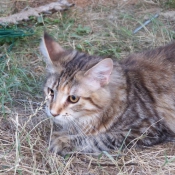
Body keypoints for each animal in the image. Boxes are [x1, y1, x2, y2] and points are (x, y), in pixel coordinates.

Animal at [40, 33, 175, 156]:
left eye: (73, 98)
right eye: (51, 91)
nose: (53, 112)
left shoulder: (147, 129)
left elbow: (99, 139)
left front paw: (64, 141)